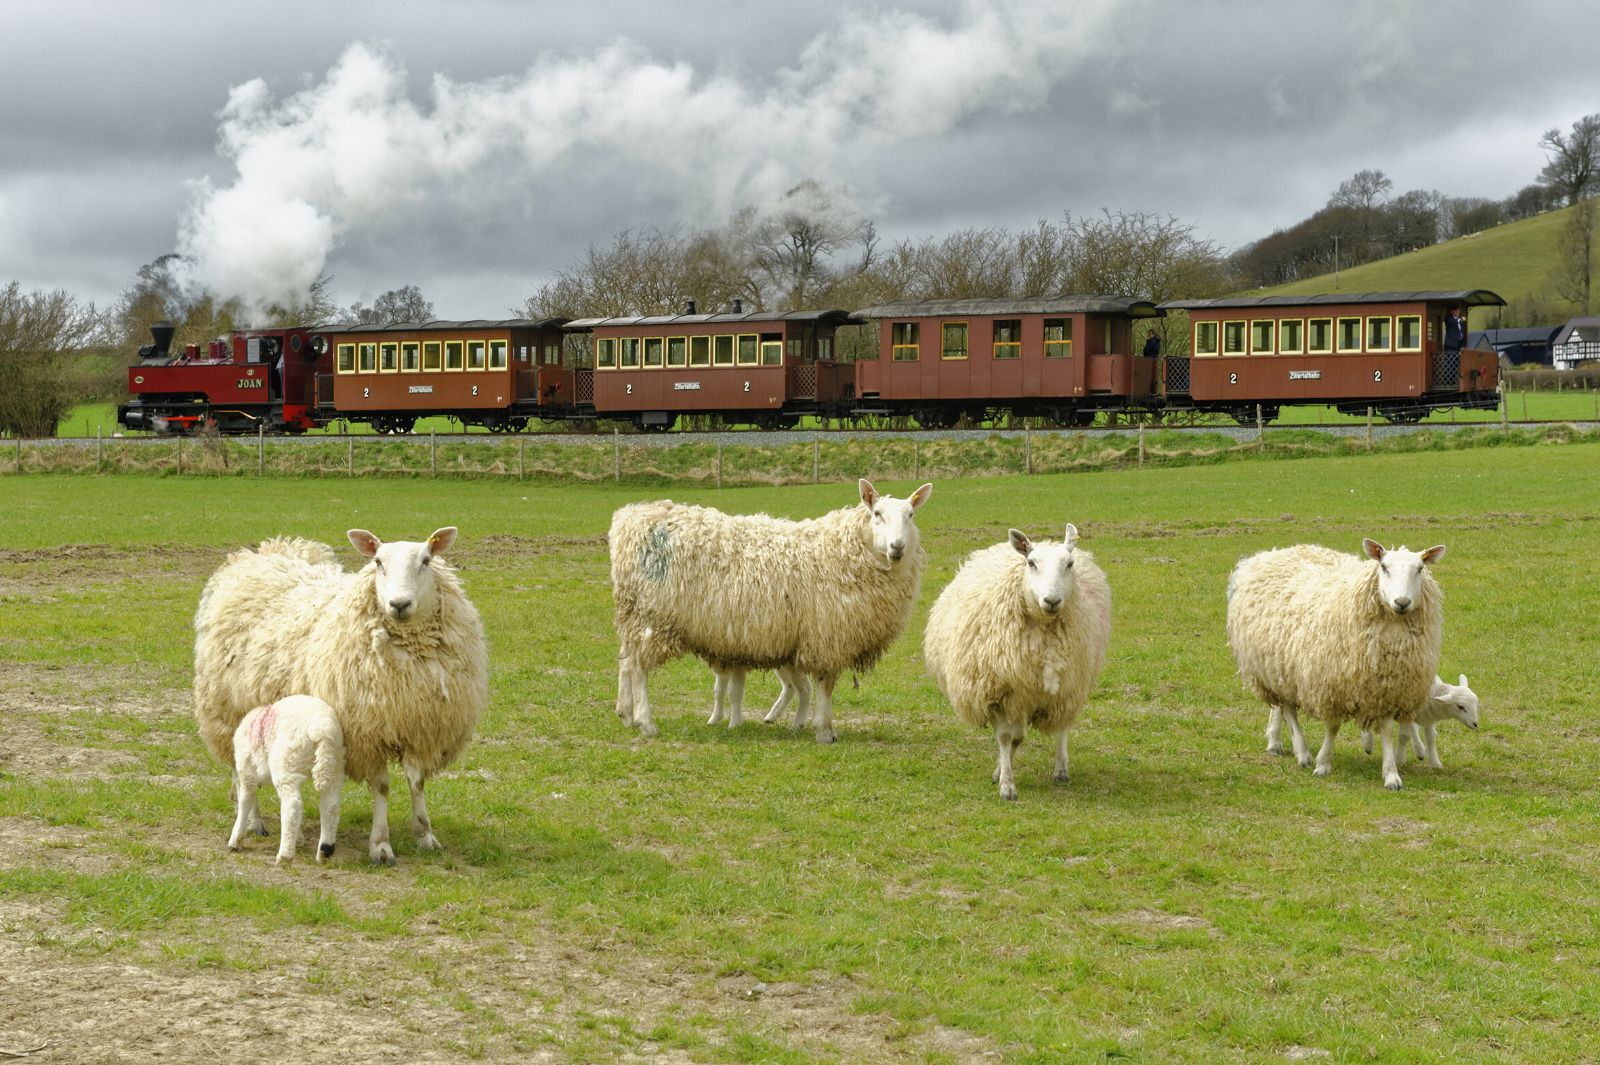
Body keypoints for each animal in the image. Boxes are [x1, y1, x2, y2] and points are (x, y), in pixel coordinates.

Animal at [228, 697, 344, 863]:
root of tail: (323, 729)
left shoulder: (247, 771)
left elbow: (245, 802)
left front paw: (235, 840)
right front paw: (300, 839)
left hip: (286, 764)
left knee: (292, 806)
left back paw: (285, 855)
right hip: (334, 763)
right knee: (331, 806)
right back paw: (324, 852)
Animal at [611, 476, 934, 741]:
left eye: (911, 515)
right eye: (877, 514)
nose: (897, 547)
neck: (845, 552)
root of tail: (629, 520)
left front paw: (823, 727)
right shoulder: (827, 636)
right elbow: (825, 686)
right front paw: (824, 730)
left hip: (632, 613)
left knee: (626, 661)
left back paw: (625, 714)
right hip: (653, 617)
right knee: (638, 668)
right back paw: (646, 722)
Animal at [921, 521, 1107, 796]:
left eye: (1069, 564)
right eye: (1031, 563)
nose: (1052, 600)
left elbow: (1018, 737)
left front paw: (1004, 775)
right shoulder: (998, 692)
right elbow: (1008, 738)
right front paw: (1005, 781)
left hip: (1070, 683)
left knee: (1062, 725)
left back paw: (1061, 767)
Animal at [1222, 540, 1452, 786]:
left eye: (1419, 569)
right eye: (1384, 567)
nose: (1402, 602)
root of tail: (1268, 554)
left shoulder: (1386, 690)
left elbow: (1387, 731)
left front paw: (1391, 774)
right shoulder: (1330, 684)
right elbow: (1332, 727)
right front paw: (1323, 764)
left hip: (1279, 668)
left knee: (1281, 707)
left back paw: (1275, 740)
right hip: (1272, 668)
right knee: (1289, 711)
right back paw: (1302, 752)